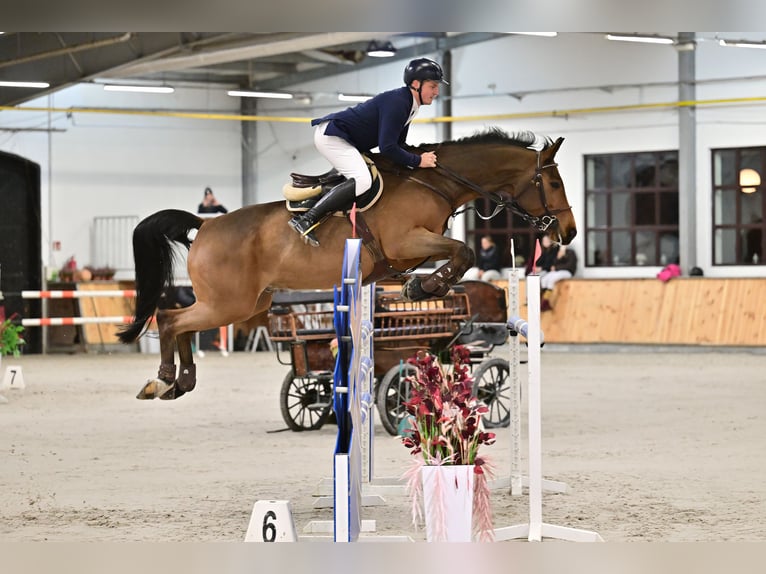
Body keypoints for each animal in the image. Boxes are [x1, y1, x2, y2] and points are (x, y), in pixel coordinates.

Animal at [118, 129, 576, 400]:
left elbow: (455, 256)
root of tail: (205, 226)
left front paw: (421, 287)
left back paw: (181, 381)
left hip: (246, 304)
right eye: (553, 182)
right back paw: (163, 379)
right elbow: (465, 251)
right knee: (171, 318)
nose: (568, 232)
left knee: (181, 322)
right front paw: (423, 288)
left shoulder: (412, 251)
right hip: (229, 303)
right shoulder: (407, 238)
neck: (435, 182)